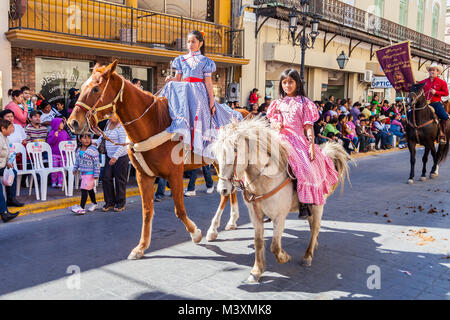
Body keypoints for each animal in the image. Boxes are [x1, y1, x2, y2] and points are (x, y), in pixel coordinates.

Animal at [68, 60, 248, 260]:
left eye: (96, 89)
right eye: (82, 87)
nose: (73, 122)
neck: (153, 122)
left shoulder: (175, 174)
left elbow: (179, 209)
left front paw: (195, 233)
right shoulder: (143, 176)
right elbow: (147, 211)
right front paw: (141, 247)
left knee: (226, 192)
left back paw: (213, 230)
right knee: (230, 190)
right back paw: (231, 222)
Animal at [209, 118, 354, 282]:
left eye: (234, 151)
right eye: (216, 155)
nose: (223, 190)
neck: (265, 179)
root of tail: (326, 156)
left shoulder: (279, 216)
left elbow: (274, 246)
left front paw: (284, 257)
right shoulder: (255, 216)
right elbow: (258, 242)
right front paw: (257, 271)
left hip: (318, 205)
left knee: (316, 226)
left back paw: (308, 256)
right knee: (313, 227)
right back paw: (314, 245)